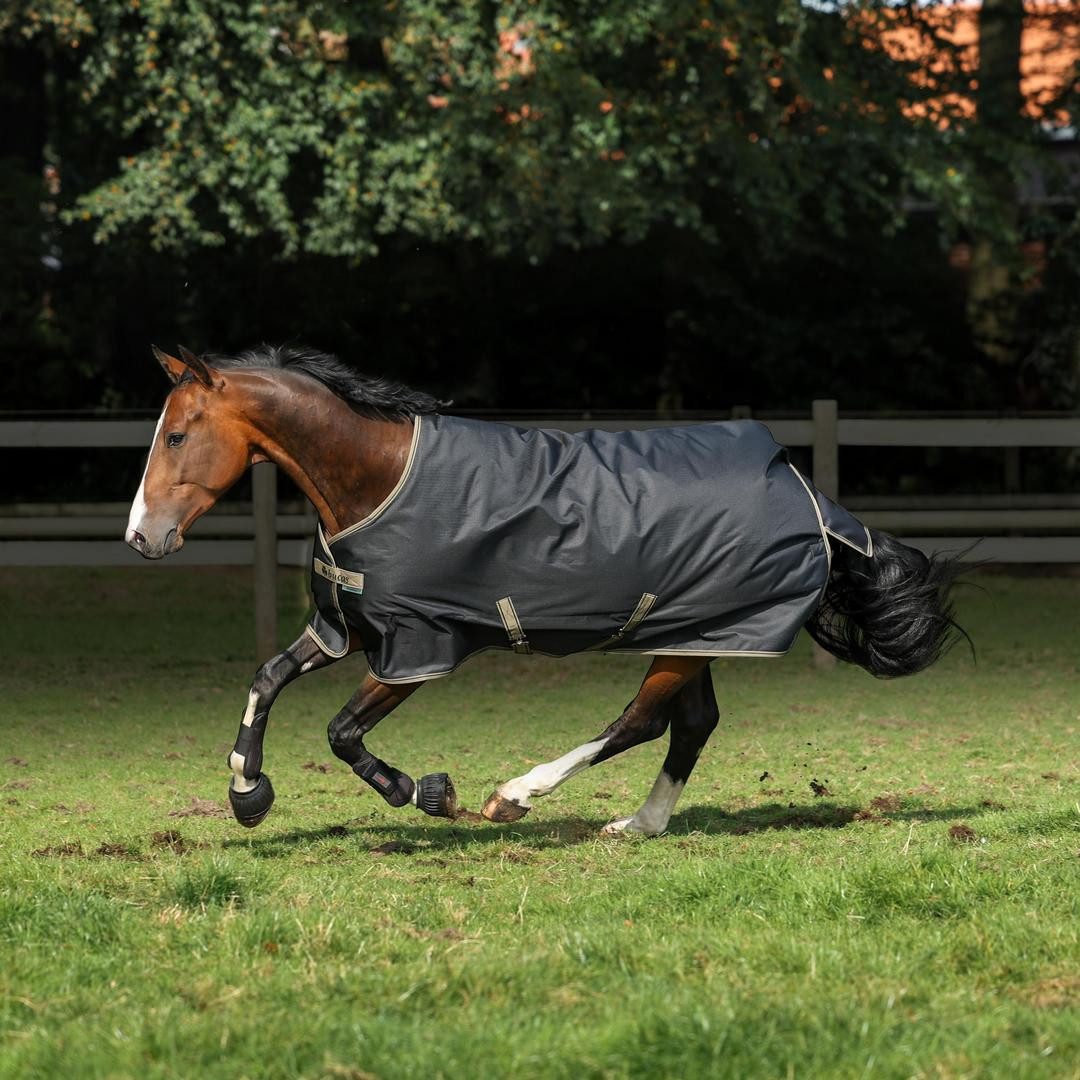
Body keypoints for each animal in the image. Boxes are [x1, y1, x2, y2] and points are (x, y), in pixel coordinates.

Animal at [126, 345, 964, 836]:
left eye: (177, 434)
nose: (141, 537)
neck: (379, 478)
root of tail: (814, 502)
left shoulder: (419, 649)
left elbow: (342, 732)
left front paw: (427, 791)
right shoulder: (346, 629)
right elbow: (265, 678)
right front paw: (248, 794)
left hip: (690, 637)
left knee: (640, 722)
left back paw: (518, 794)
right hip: (697, 633)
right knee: (691, 725)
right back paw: (638, 825)